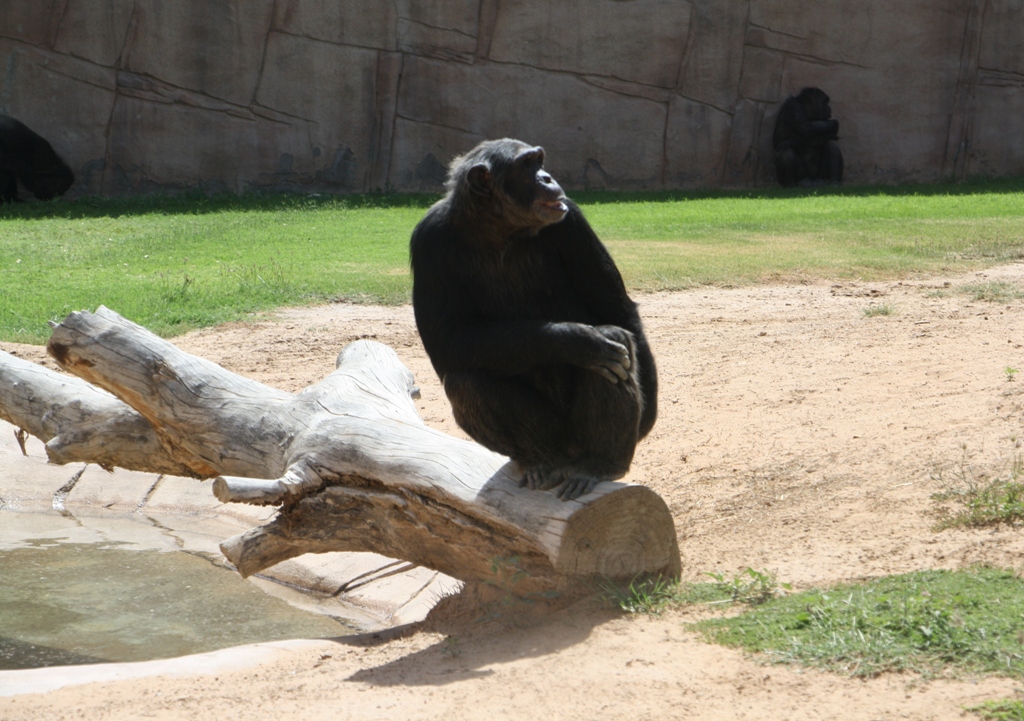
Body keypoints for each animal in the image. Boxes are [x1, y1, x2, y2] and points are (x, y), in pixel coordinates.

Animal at [411, 139, 659, 501]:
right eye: (526, 165)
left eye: (539, 161)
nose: (546, 176)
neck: (500, 229)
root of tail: (568, 455)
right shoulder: (427, 242)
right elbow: (448, 341)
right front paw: (576, 340)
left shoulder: (573, 223)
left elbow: (614, 307)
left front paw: (647, 413)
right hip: (552, 437)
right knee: (465, 383)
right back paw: (539, 460)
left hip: (579, 440)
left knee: (616, 342)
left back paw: (600, 464)